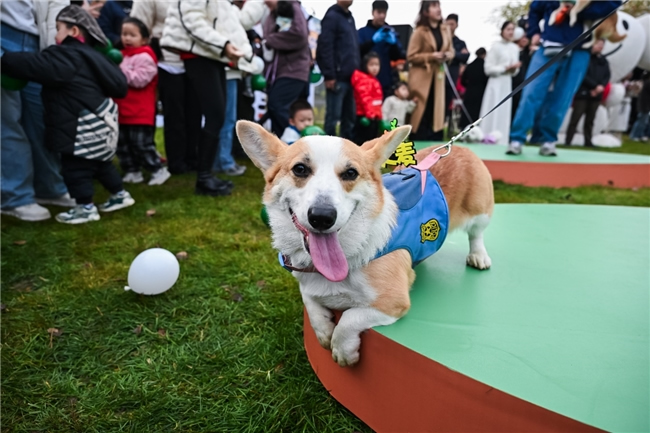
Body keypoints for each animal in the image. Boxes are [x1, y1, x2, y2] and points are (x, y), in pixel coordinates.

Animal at [236, 121, 494, 367]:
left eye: (351, 173)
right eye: (300, 169)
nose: (322, 217)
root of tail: (460, 147)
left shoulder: (392, 302)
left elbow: (350, 318)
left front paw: (342, 351)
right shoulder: (307, 285)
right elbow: (310, 301)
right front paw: (323, 332)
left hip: (480, 212)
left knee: (477, 234)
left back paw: (478, 255)